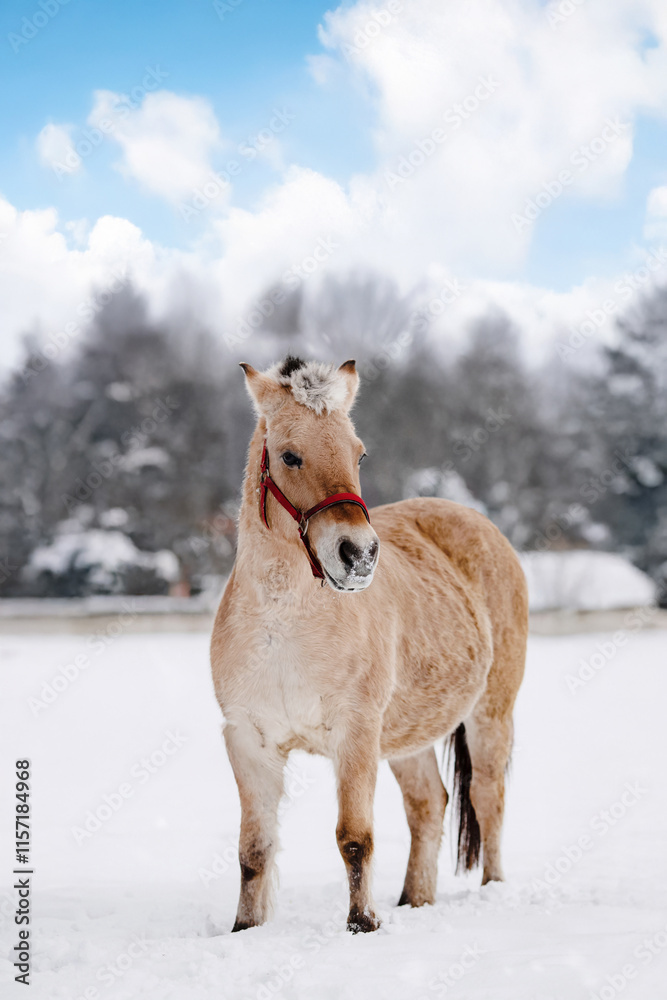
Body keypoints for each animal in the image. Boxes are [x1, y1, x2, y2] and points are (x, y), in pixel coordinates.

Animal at [210, 356, 528, 933]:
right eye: (290, 455)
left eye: (359, 453)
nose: (357, 554)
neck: (284, 624)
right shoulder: (249, 741)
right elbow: (254, 849)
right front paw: (245, 929)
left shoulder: (355, 733)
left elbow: (354, 838)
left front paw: (362, 923)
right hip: (408, 733)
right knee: (429, 803)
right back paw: (415, 900)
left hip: (492, 713)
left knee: (487, 796)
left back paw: (491, 891)